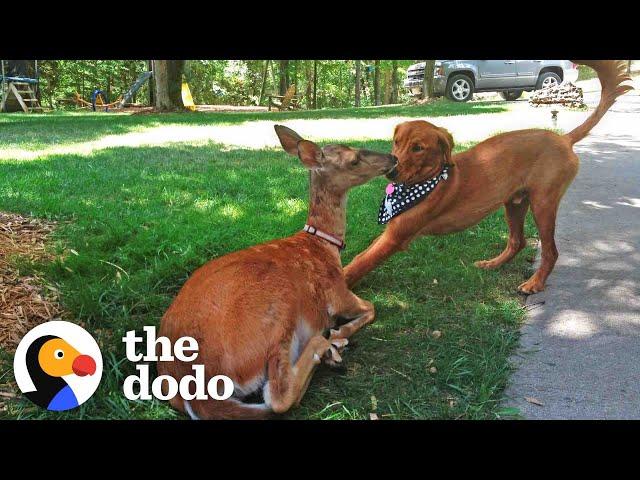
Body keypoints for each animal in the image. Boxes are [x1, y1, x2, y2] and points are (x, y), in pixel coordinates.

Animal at [158, 125, 398, 418]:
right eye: (353, 159)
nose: (393, 158)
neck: (324, 246)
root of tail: (195, 389)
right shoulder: (338, 294)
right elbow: (372, 308)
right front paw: (338, 334)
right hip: (278, 314)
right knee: (278, 396)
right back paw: (326, 346)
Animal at [344, 62, 632, 294]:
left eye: (418, 148)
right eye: (396, 142)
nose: (390, 172)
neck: (429, 179)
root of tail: (563, 138)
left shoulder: (395, 236)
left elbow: (358, 262)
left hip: (543, 204)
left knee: (551, 251)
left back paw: (535, 283)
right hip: (514, 203)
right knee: (518, 241)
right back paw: (493, 264)